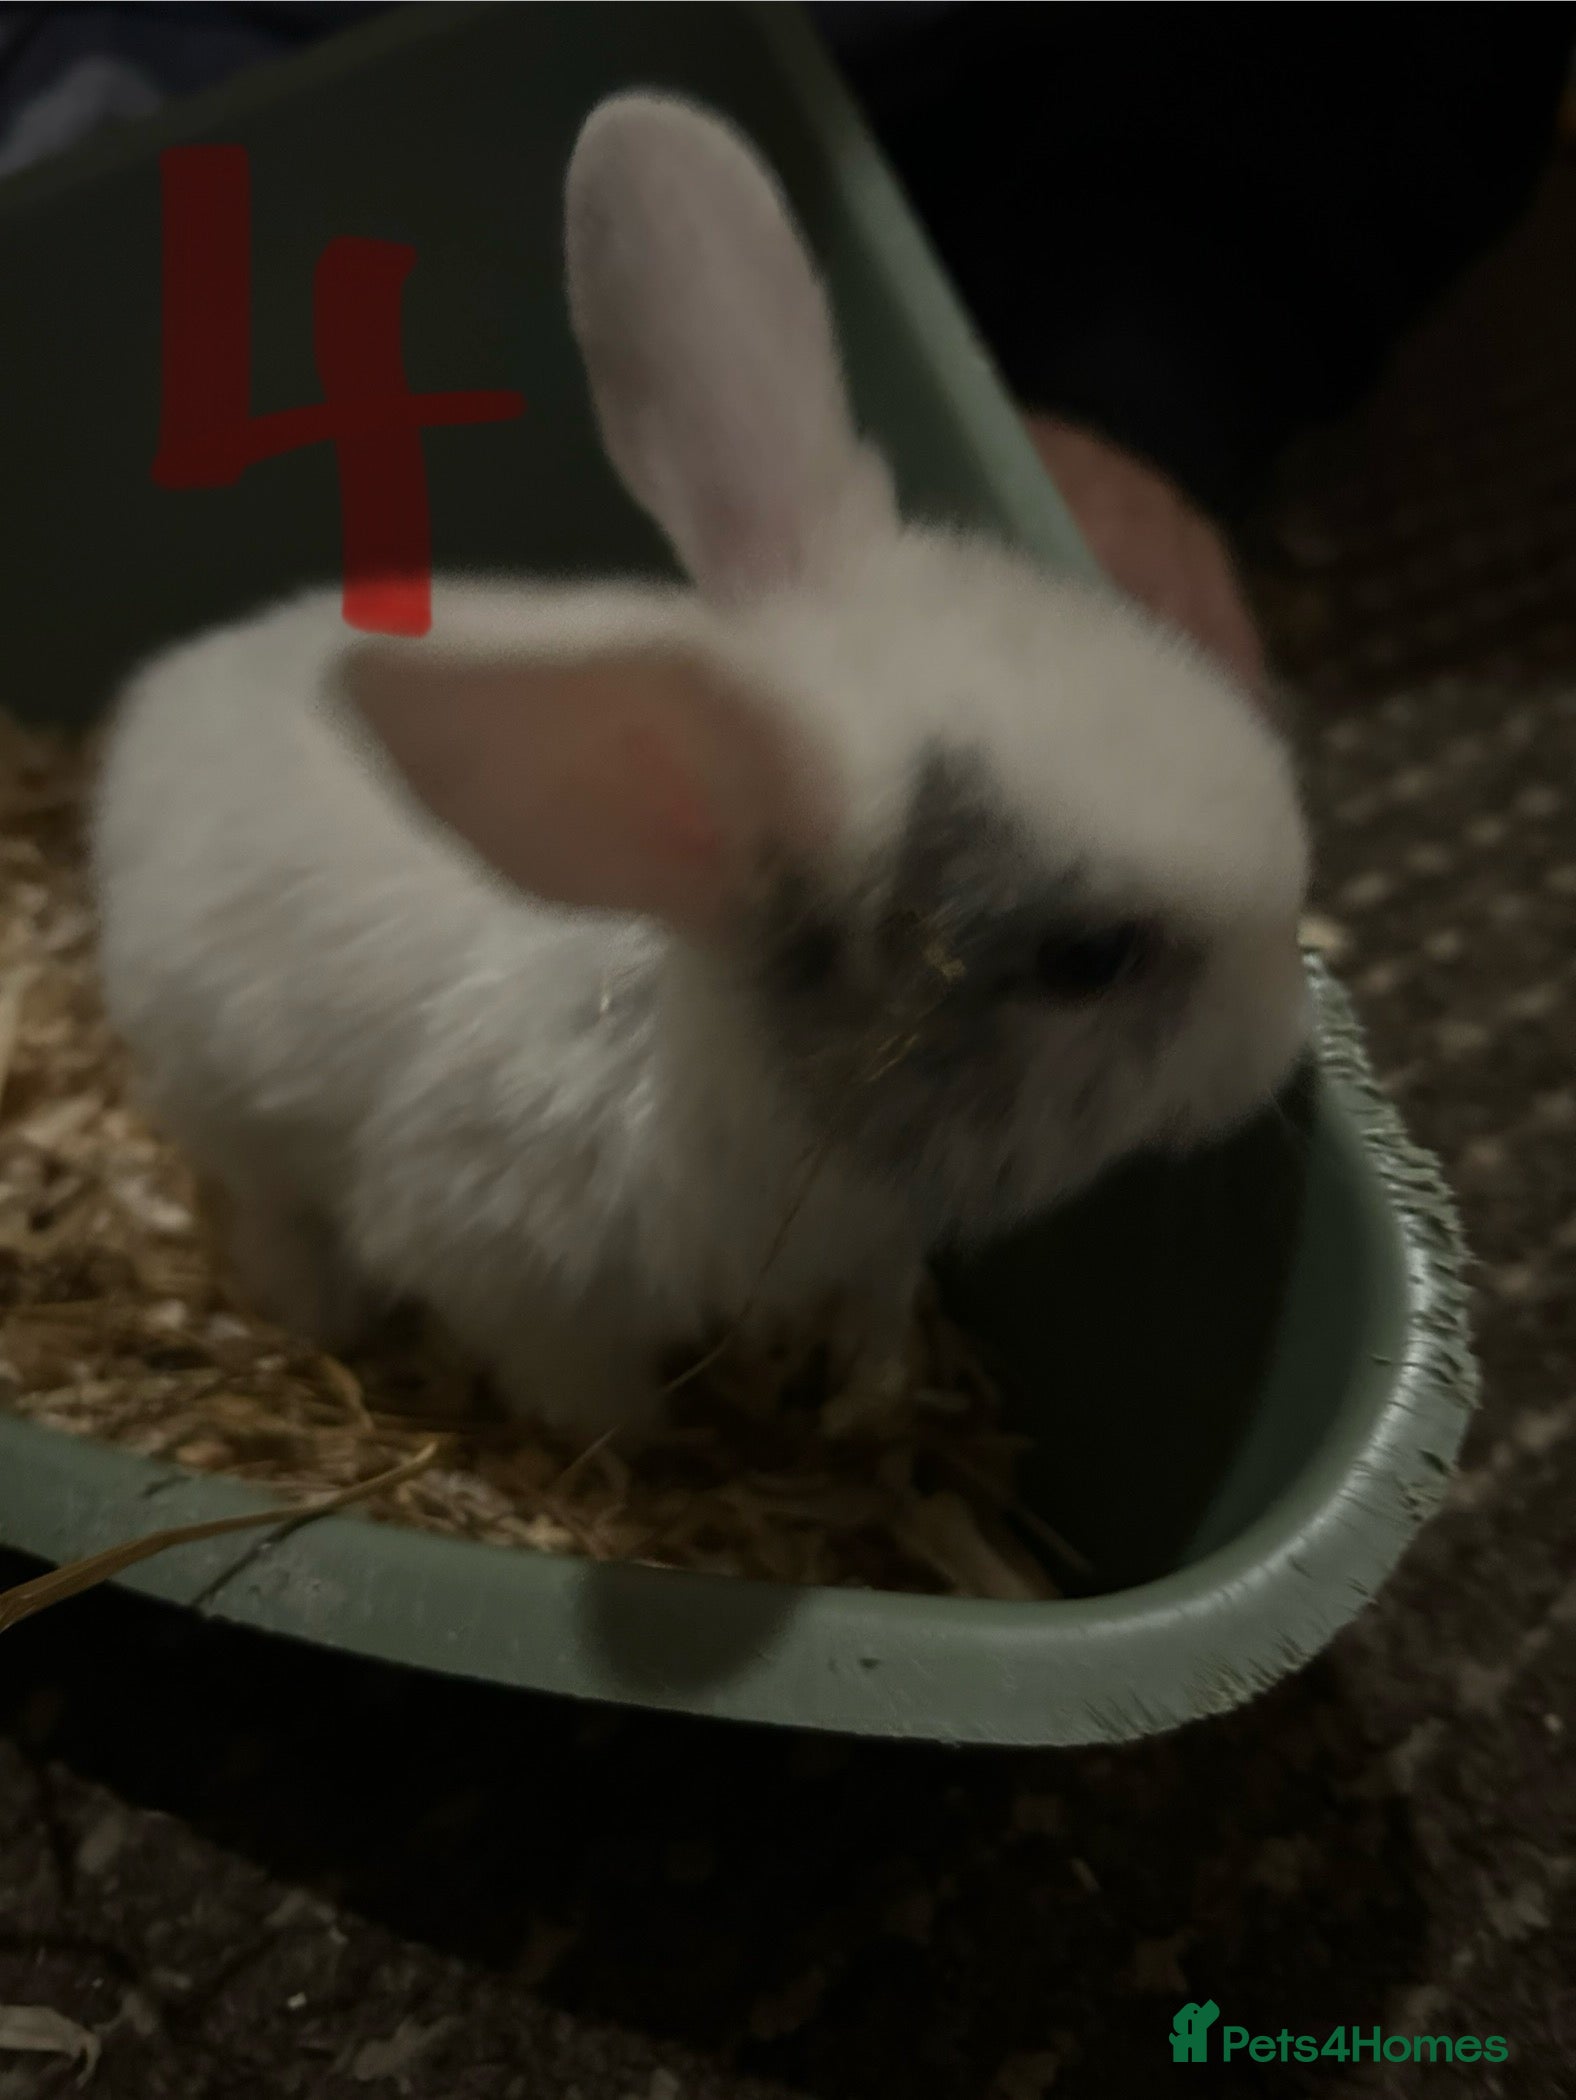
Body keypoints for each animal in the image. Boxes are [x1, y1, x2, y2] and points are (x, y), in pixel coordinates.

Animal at [90, 89, 1312, 1439]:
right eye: (1085, 961)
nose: (1288, 1041)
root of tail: (153, 708)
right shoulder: (514, 1279)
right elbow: (578, 1389)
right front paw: (646, 1446)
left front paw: (868, 1385)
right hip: (220, 1096)